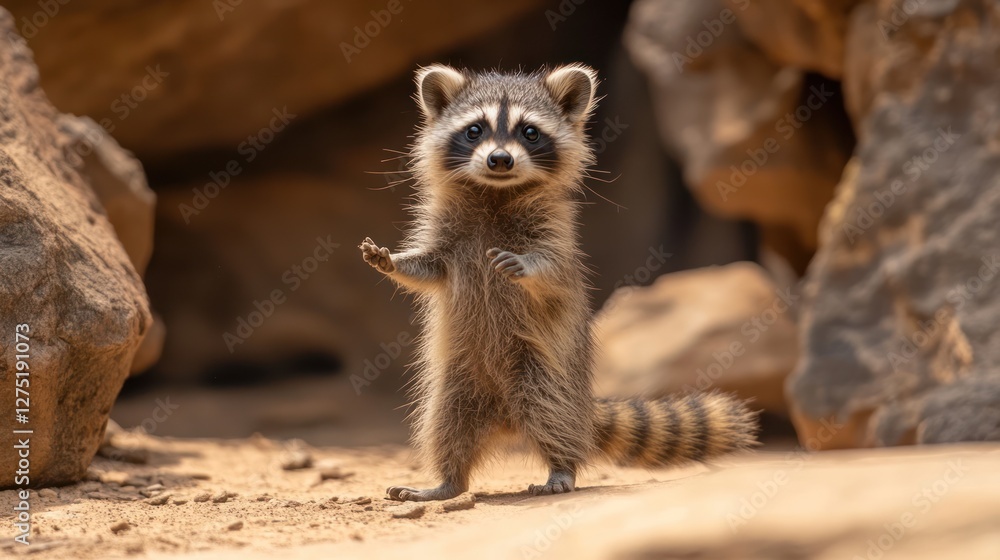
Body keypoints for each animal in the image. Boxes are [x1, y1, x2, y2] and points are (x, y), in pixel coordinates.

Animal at [360, 64, 757, 502]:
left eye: (530, 132)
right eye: (475, 130)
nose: (500, 160)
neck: (496, 193)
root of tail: (506, 417)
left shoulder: (556, 235)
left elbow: (552, 272)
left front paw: (527, 267)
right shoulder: (446, 234)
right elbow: (428, 268)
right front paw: (392, 262)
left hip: (547, 371)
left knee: (552, 414)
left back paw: (561, 466)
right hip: (458, 381)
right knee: (445, 423)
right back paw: (448, 481)